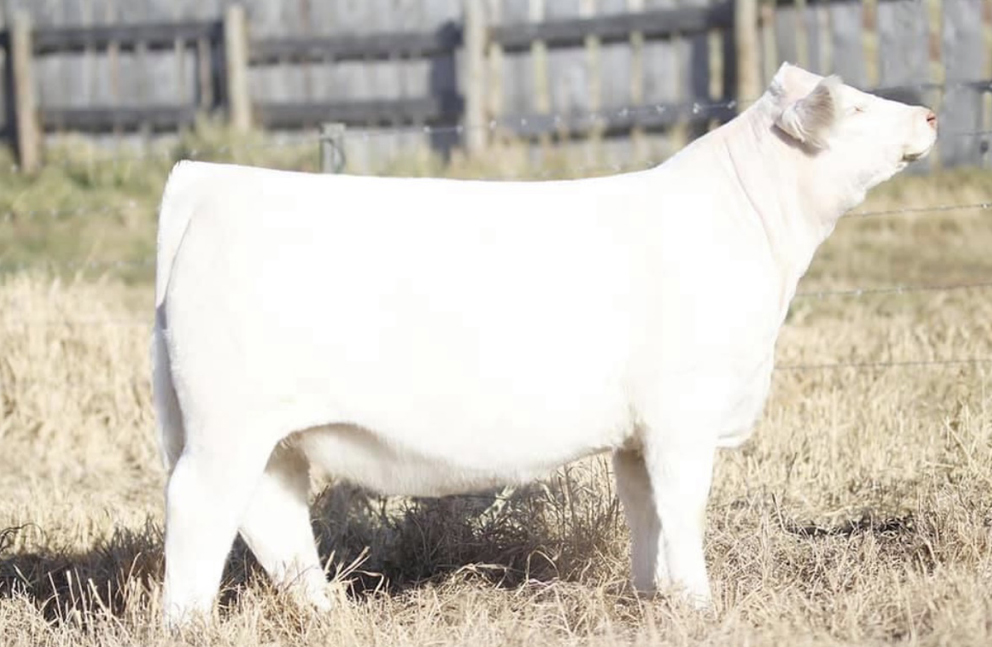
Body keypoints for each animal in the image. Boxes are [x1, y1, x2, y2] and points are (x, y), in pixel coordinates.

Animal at [153, 63, 936, 624]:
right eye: (854, 107)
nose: (928, 114)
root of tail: (208, 180)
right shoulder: (682, 415)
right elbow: (683, 507)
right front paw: (702, 606)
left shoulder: (638, 433)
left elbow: (646, 514)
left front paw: (654, 600)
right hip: (228, 420)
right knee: (202, 506)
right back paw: (189, 624)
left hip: (269, 432)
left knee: (271, 512)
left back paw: (328, 614)